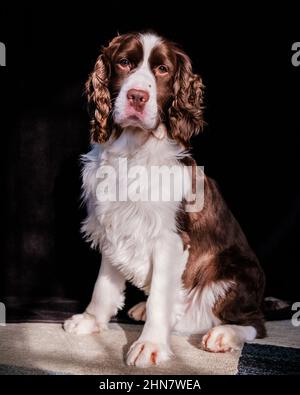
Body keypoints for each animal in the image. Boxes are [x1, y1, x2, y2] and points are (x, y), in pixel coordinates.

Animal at [63, 32, 264, 370]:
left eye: (162, 70)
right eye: (124, 62)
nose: (137, 97)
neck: (133, 152)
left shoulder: (170, 238)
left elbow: (160, 293)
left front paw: (150, 345)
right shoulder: (112, 224)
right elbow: (103, 285)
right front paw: (92, 320)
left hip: (234, 274)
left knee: (255, 324)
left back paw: (224, 335)